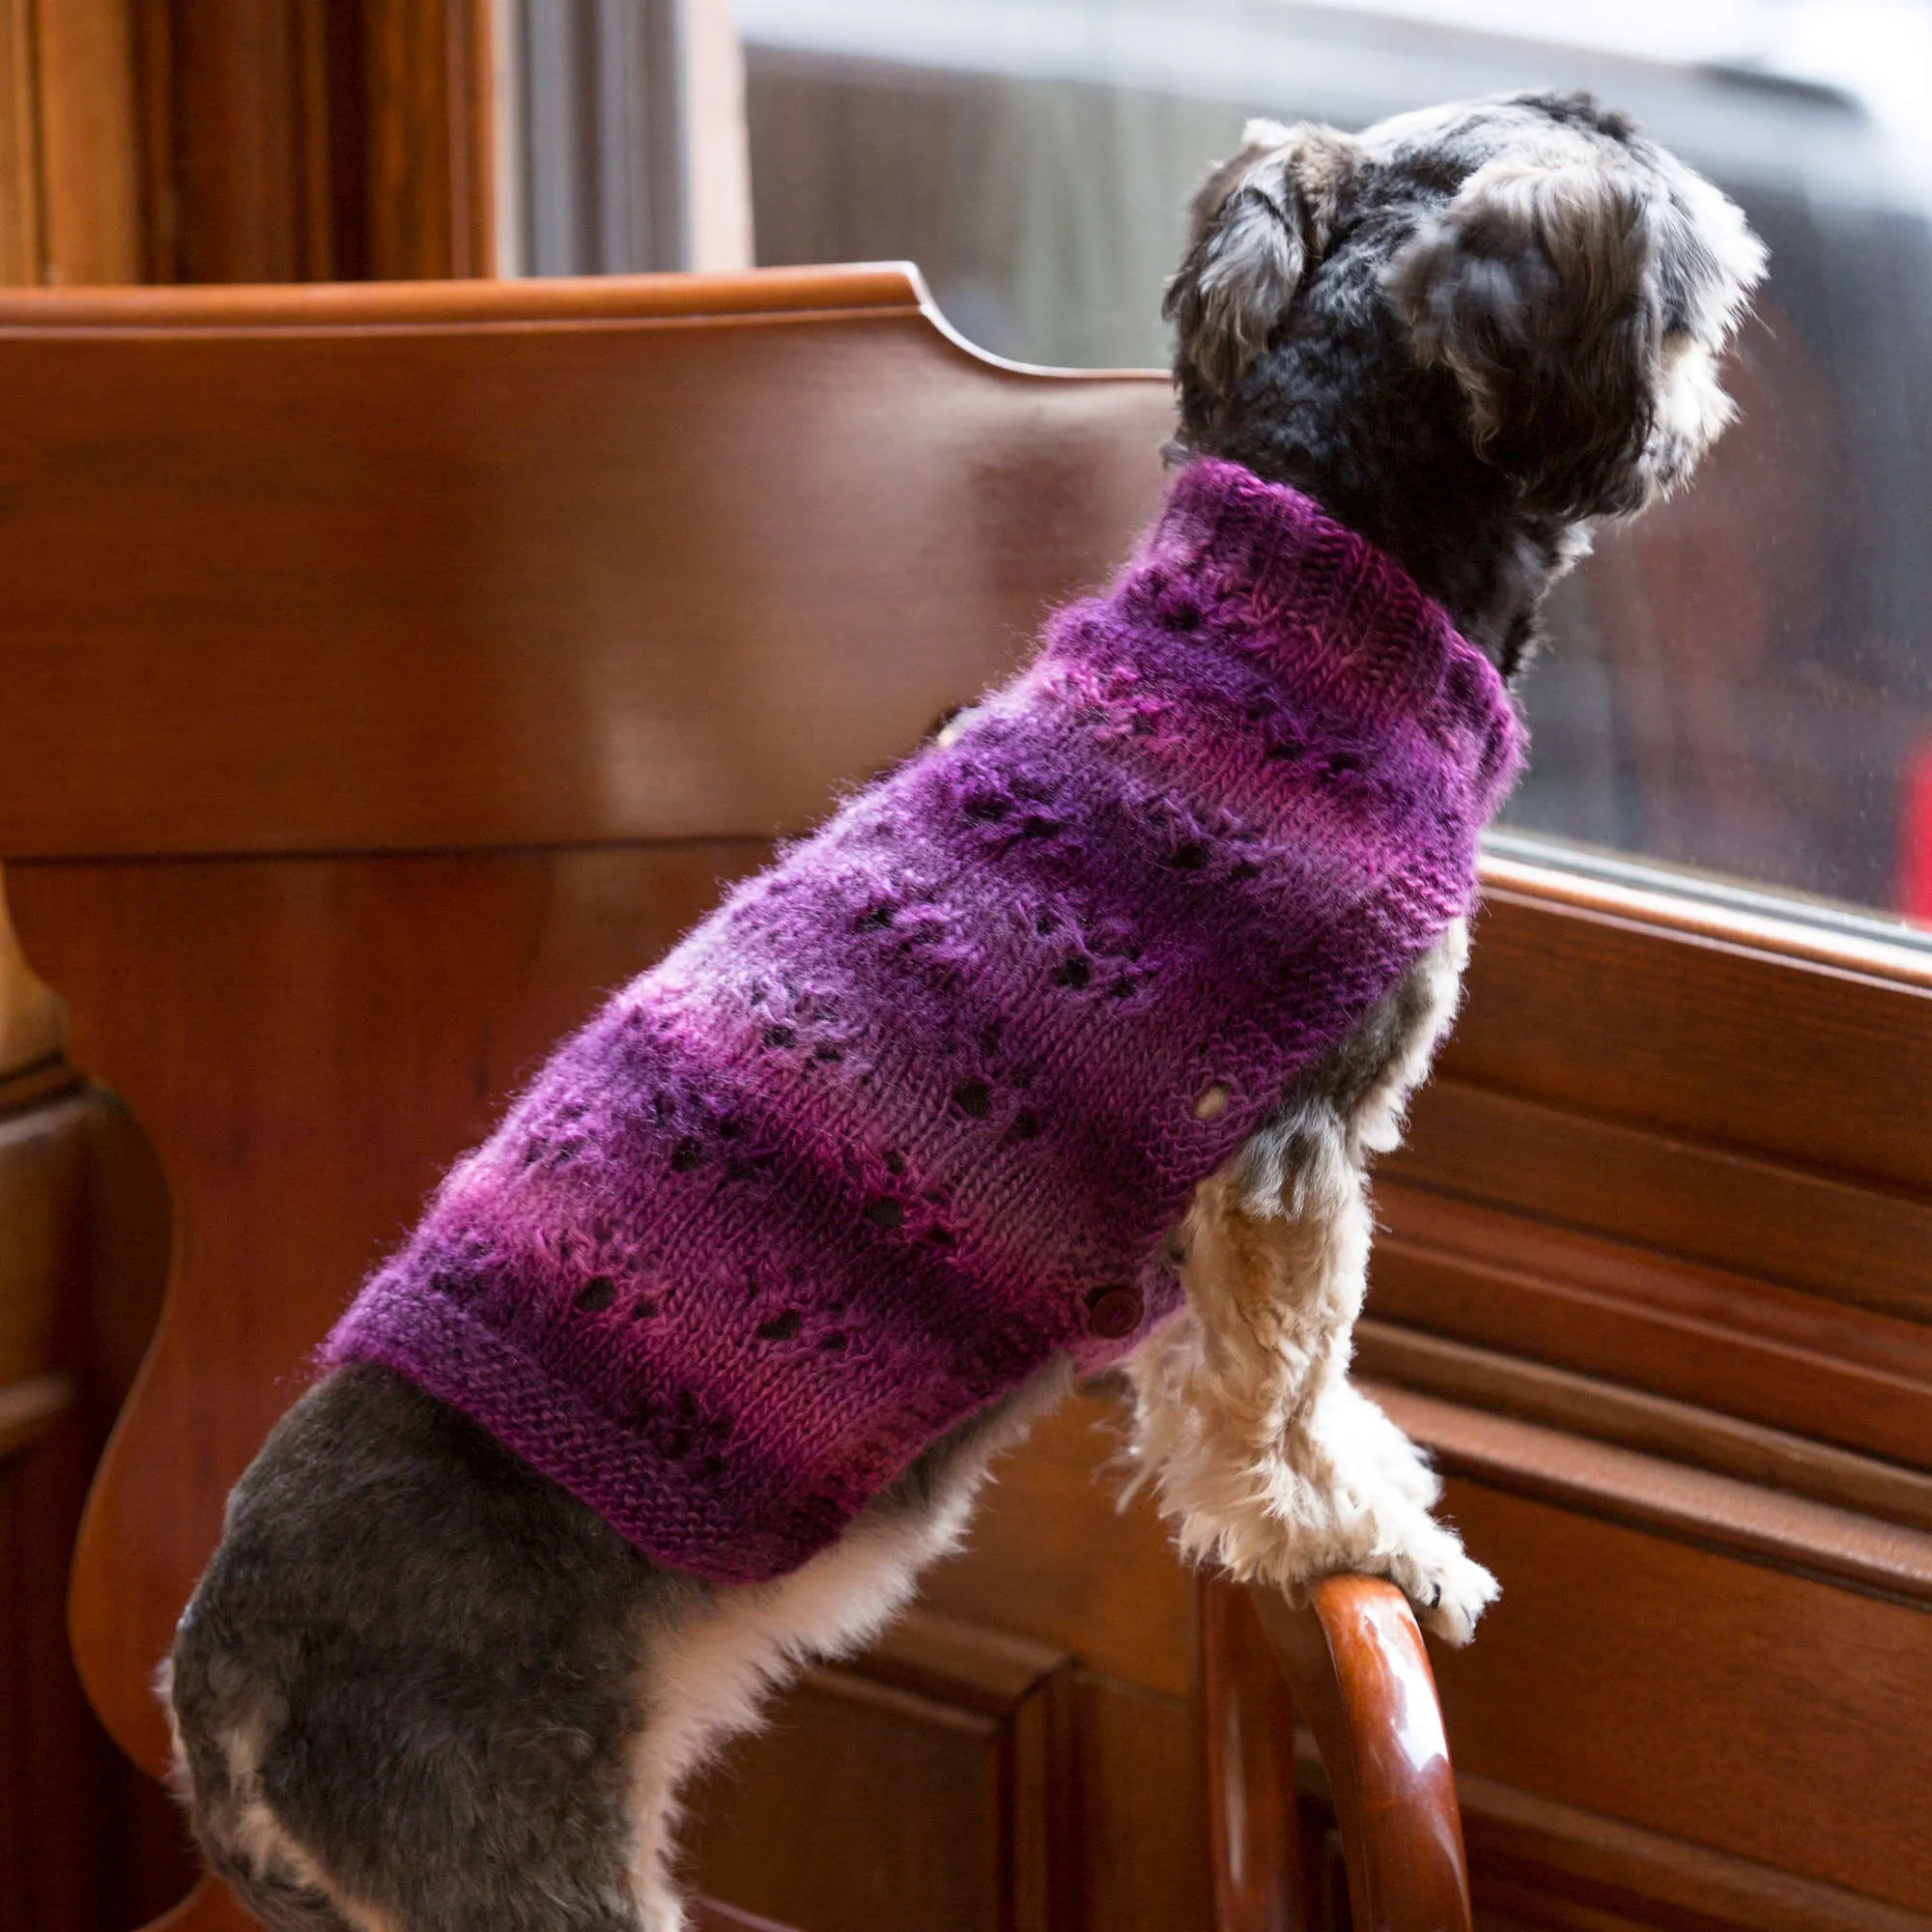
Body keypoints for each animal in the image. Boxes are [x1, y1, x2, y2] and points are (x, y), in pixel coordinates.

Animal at [166, 94, 1770, 1932]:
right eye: (1700, 272)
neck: (1317, 604)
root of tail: (216, 1686)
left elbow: (1242, 1385)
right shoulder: (1285, 1162)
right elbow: (1282, 1386)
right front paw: (1356, 1536)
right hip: (524, 1862)